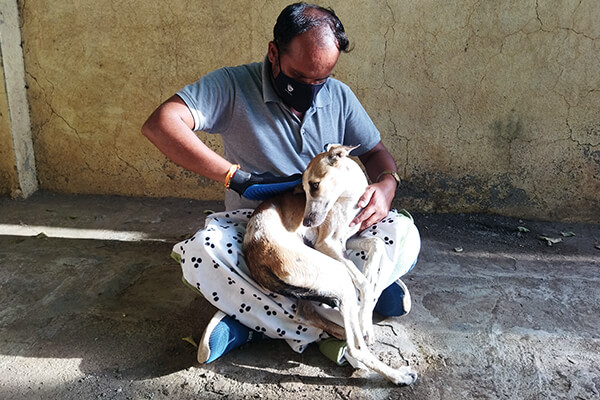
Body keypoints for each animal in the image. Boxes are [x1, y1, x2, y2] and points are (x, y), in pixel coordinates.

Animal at [243, 144, 418, 384]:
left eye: (314, 185)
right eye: (303, 189)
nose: (306, 222)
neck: (348, 198)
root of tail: (254, 253)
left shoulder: (346, 240)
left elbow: (377, 245)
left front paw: (372, 281)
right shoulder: (327, 244)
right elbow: (363, 284)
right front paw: (366, 320)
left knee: (309, 316)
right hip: (337, 275)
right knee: (355, 347)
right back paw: (396, 375)